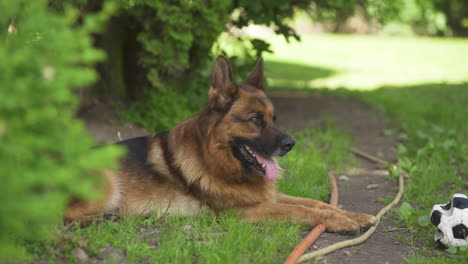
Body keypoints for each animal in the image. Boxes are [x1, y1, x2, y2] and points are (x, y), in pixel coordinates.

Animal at [65, 55, 376, 233]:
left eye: (274, 118)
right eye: (255, 120)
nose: (291, 143)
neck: (217, 160)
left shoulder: (268, 197)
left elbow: (315, 202)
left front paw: (351, 215)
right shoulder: (244, 211)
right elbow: (300, 210)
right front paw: (341, 222)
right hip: (106, 180)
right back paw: (107, 218)